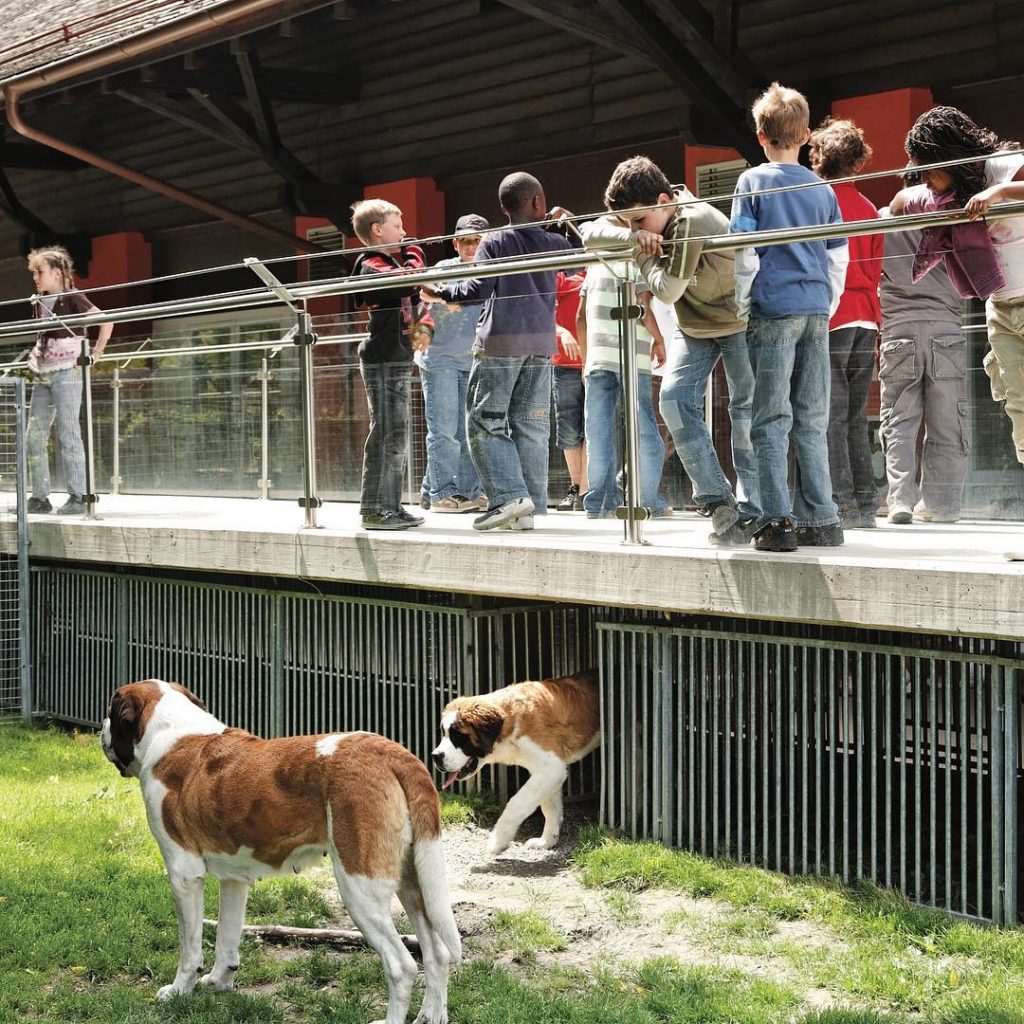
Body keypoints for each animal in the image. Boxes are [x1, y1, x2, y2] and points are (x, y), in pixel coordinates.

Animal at [99, 679, 460, 1024]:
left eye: (110, 711)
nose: (101, 728)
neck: (172, 733)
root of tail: (391, 752)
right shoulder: (234, 880)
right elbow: (227, 938)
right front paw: (219, 983)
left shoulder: (184, 876)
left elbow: (191, 949)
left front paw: (178, 991)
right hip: (413, 884)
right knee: (437, 954)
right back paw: (431, 1016)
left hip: (360, 887)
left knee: (402, 966)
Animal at [430, 663, 598, 856]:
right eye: (444, 733)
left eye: (459, 736)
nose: (435, 757)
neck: (511, 721)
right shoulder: (546, 771)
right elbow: (550, 807)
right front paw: (547, 841)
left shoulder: (551, 768)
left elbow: (516, 803)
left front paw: (498, 841)